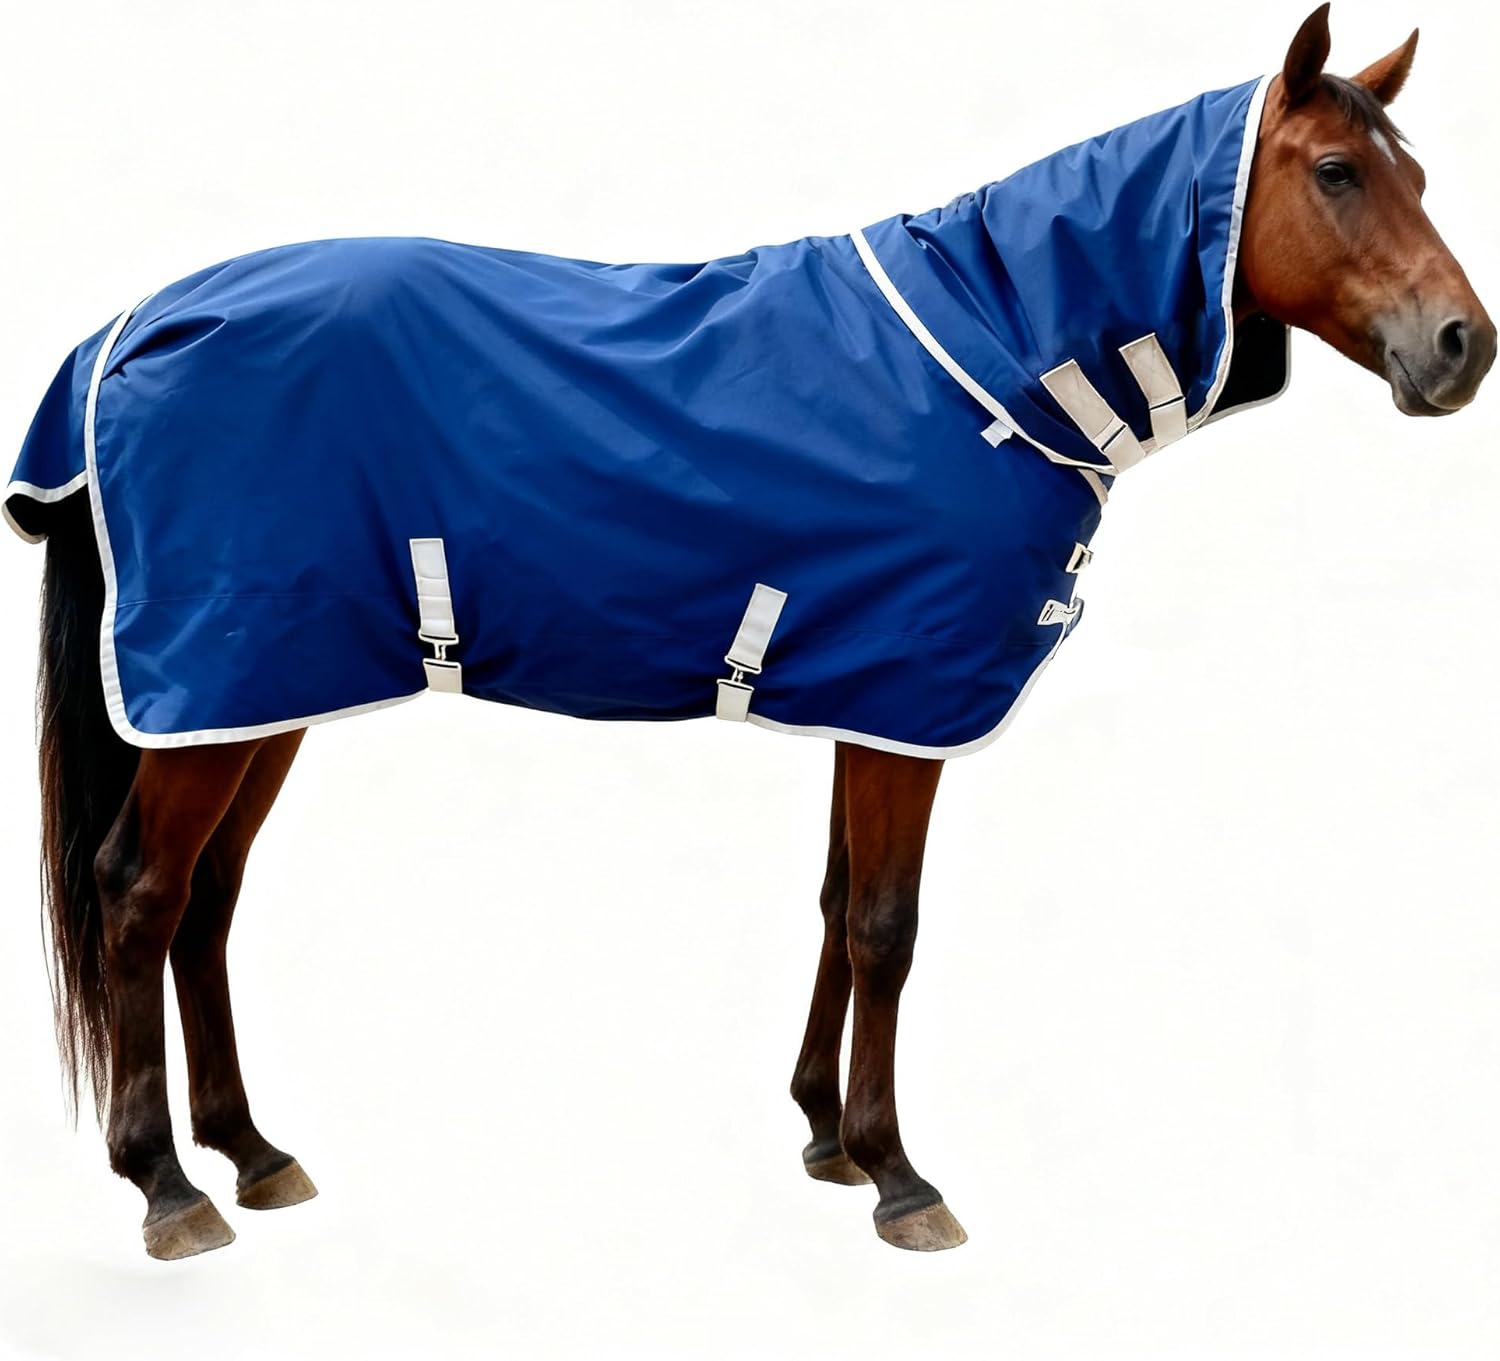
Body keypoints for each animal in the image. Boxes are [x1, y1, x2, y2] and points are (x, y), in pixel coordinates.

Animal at [7, 4, 1493, 1260]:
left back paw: (252, 1149)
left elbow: (840, 907)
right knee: (138, 889)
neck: (991, 359)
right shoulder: (911, 701)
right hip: (214, 684)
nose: (1462, 346)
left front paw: (825, 1136)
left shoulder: (865, 694)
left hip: (262, 685)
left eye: (1417, 175)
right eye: (1337, 172)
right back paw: (168, 1184)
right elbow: (888, 925)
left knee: (207, 896)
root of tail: (132, 325)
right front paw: (898, 1173)